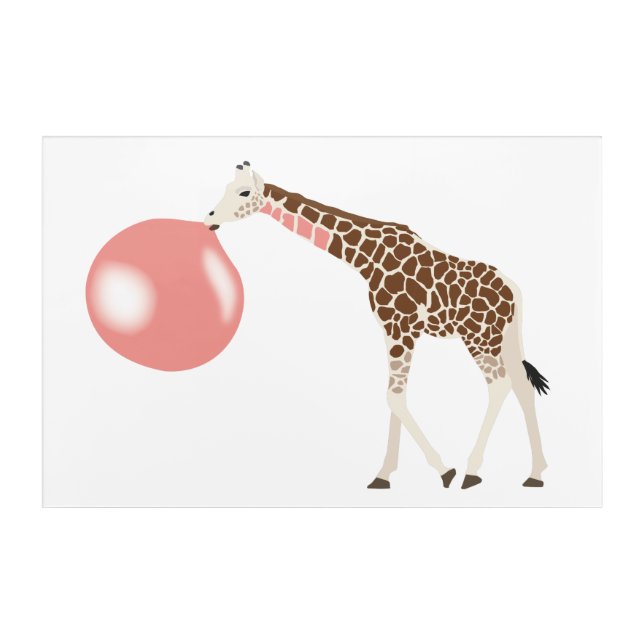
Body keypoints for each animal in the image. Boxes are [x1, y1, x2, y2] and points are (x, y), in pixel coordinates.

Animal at [205, 161, 549, 489]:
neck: (364, 256)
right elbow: (395, 397)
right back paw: (536, 473)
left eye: (243, 193)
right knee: (522, 386)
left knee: (500, 385)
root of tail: (513, 290)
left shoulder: (399, 326)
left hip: (478, 337)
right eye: (227, 187)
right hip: (503, 338)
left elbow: (393, 397)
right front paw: (384, 475)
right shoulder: (392, 329)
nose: (209, 218)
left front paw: (444, 471)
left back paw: (472, 471)